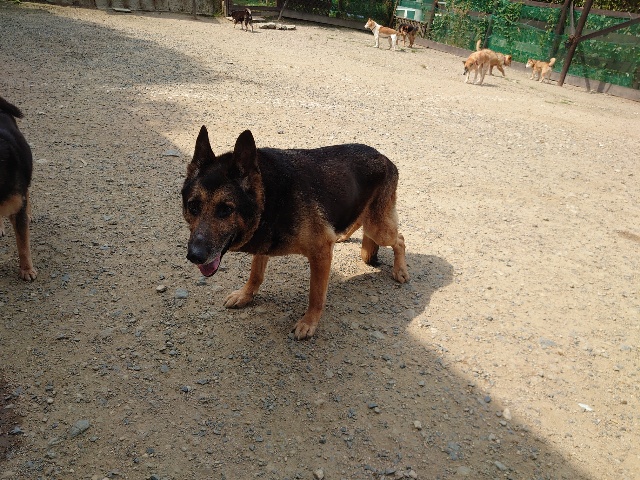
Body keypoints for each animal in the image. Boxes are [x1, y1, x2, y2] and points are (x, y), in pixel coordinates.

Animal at [182, 127, 409, 340]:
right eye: (193, 207)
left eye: (226, 210)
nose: (194, 256)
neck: (269, 196)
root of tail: (383, 157)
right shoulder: (265, 243)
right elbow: (256, 273)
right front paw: (246, 295)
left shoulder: (320, 254)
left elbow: (316, 295)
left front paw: (309, 322)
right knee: (359, 221)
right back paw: (342, 235)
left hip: (378, 229)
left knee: (399, 239)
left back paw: (400, 270)